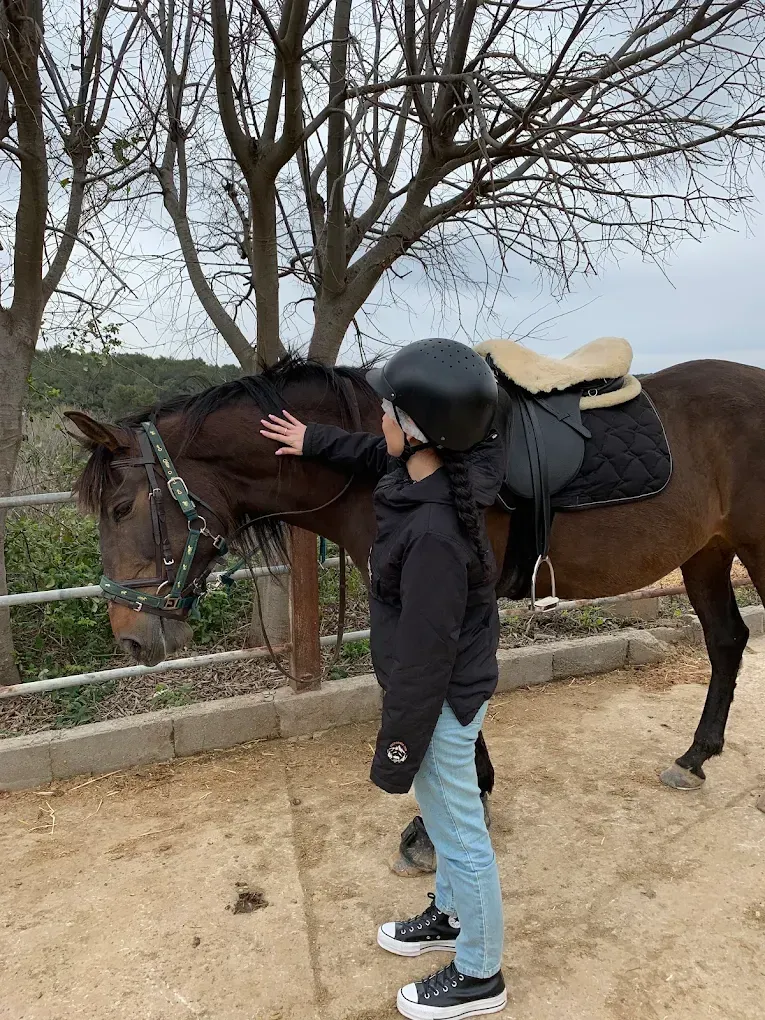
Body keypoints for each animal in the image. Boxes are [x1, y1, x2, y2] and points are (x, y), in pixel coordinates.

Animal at [68, 353, 765, 872]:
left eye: (123, 508)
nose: (131, 638)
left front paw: (443, 823)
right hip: (706, 551)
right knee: (728, 640)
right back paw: (694, 758)